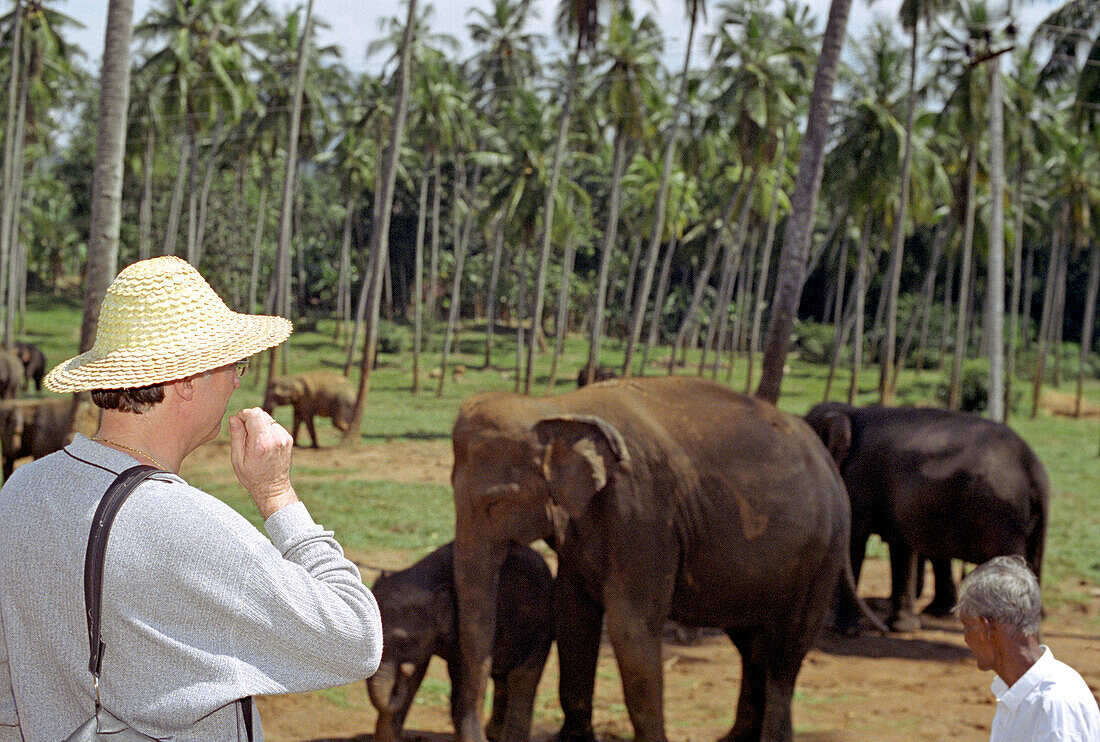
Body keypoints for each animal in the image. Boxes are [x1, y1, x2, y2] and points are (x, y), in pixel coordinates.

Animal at [369, 540, 554, 742]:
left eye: (403, 641)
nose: (404, 670)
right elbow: (418, 675)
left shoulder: (472, 625)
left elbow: (465, 678)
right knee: (503, 677)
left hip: (542, 628)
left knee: (524, 676)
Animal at [446, 380, 875, 742]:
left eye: (496, 502)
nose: (484, 734)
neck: (556, 406)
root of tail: (827, 460)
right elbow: (572, 613)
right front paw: (571, 740)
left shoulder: (643, 511)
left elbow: (631, 626)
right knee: (752, 646)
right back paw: (732, 740)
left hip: (822, 555)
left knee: (785, 652)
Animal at [805, 400, 1051, 633]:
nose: (881, 629)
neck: (850, 412)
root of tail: (1032, 468)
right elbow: (901, 547)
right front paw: (903, 628)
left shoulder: (859, 475)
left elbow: (856, 540)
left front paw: (840, 629)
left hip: (1000, 517)